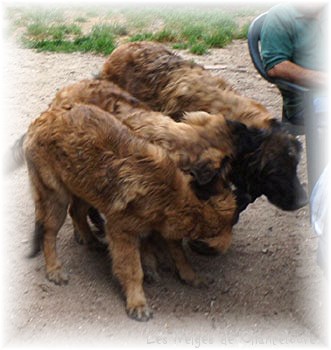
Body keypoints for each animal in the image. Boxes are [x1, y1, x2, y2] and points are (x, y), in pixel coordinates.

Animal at [22, 103, 236, 320]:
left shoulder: (163, 226)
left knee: (77, 212)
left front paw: (189, 275)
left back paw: (91, 240)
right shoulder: (122, 232)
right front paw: (137, 302)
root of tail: (44, 117)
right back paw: (54, 269)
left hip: (84, 186)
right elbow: (133, 269)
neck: (172, 195)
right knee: (48, 233)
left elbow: (178, 252)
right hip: (55, 198)